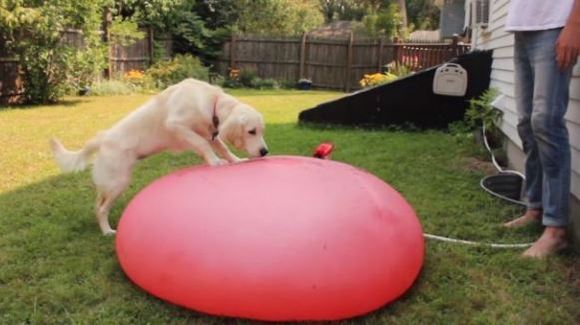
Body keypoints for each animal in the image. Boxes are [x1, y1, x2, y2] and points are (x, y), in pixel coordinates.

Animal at [49, 78, 268, 235]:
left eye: (261, 130)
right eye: (251, 131)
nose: (265, 152)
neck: (211, 101)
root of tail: (102, 139)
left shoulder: (210, 132)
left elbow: (222, 147)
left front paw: (235, 160)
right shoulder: (177, 125)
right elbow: (202, 144)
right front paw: (215, 162)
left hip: (109, 183)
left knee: (97, 205)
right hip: (118, 182)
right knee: (102, 209)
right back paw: (107, 231)